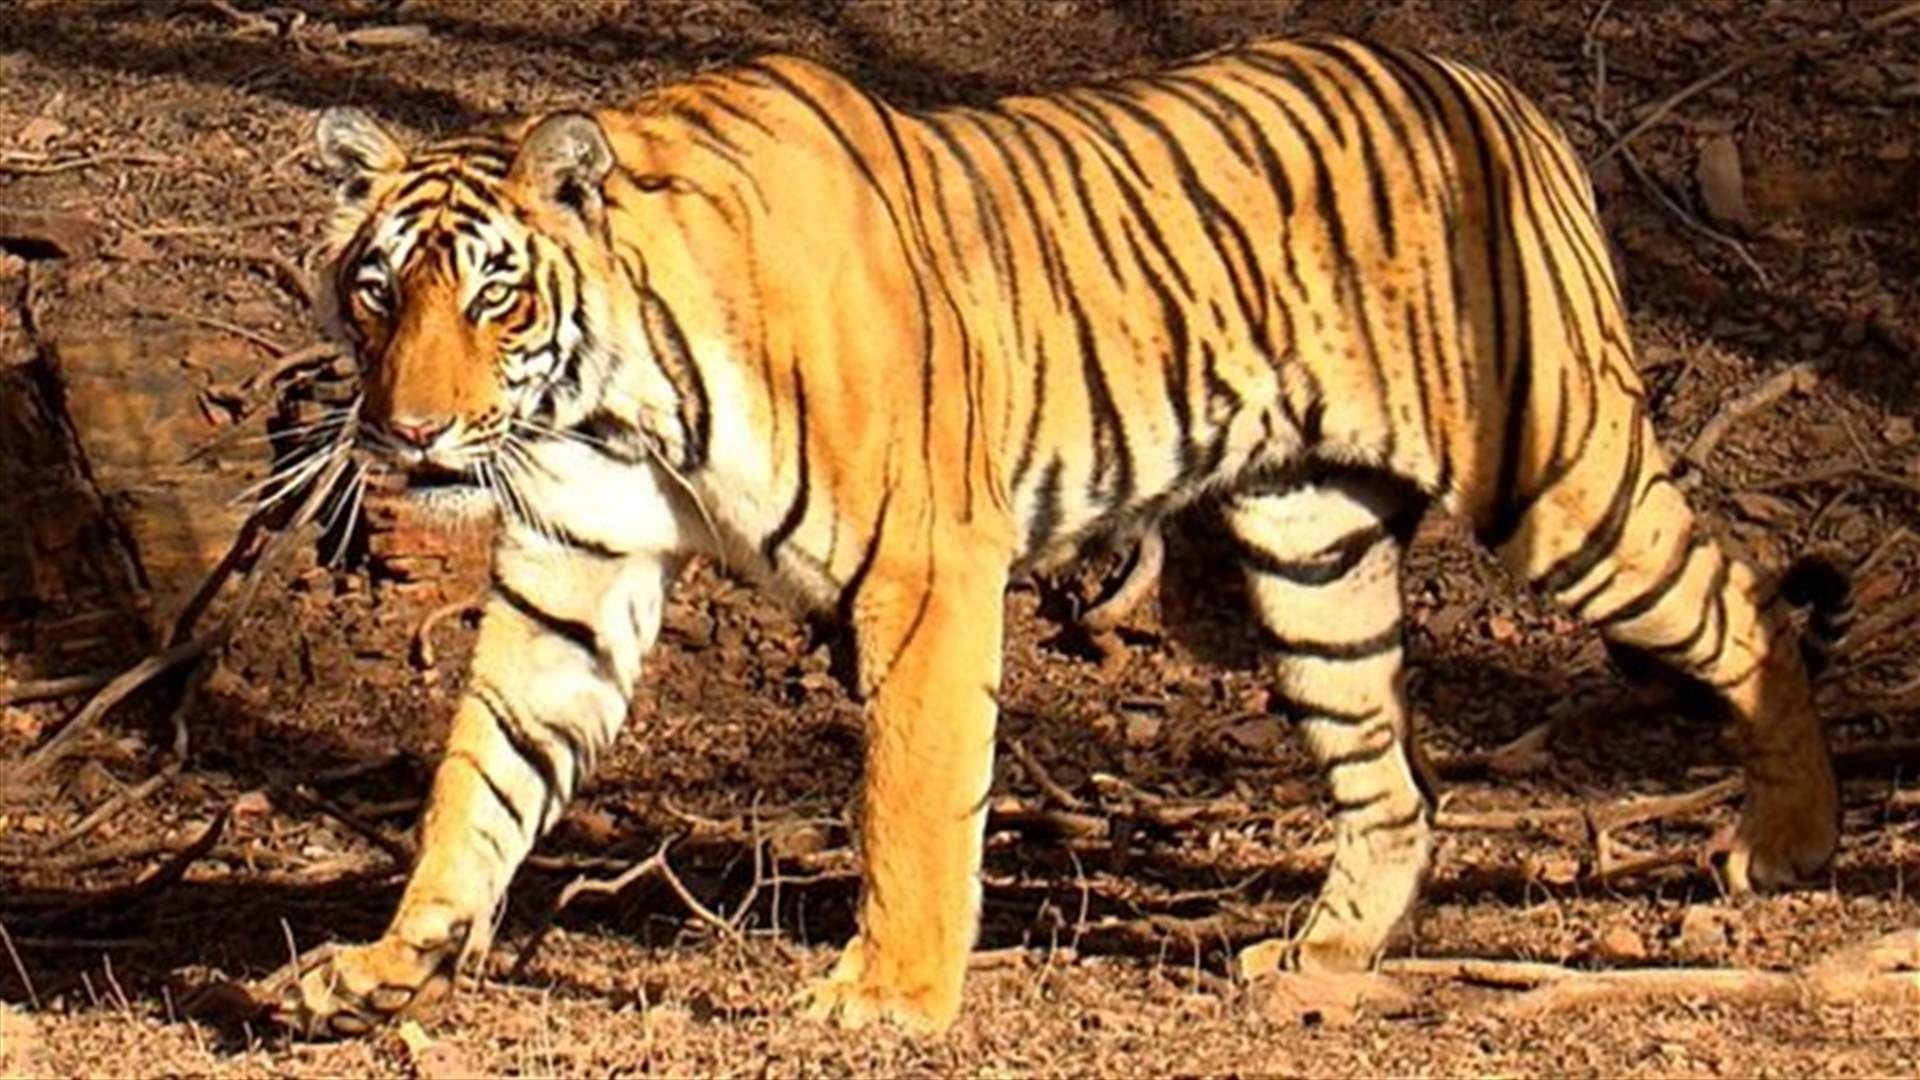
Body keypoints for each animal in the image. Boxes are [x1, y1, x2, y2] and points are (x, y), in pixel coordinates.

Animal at [274, 34, 1840, 1037]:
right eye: (378, 289)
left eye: (494, 296)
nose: (410, 434)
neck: (611, 400)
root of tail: (1495, 86)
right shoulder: (574, 574)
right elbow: (481, 781)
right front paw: (386, 965)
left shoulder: (923, 568)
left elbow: (911, 797)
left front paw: (888, 1000)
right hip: (1312, 548)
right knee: (1394, 787)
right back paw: (1322, 957)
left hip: (1556, 477)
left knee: (1746, 608)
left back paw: (1792, 843)